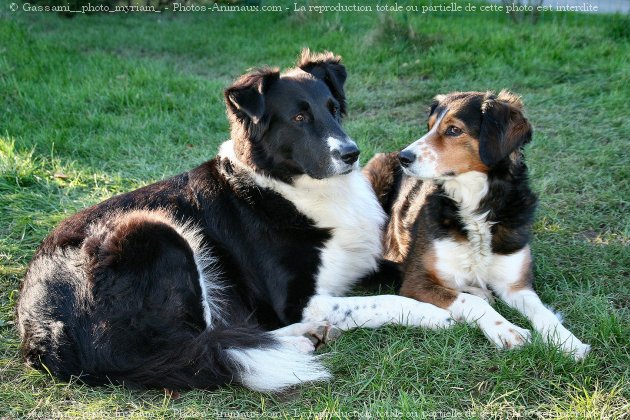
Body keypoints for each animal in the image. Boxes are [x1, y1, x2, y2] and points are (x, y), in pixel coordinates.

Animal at [16, 50, 454, 392]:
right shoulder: (294, 300)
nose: (350, 153)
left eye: (333, 109)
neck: (290, 188)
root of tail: (39, 330)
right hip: (155, 231)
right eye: (298, 118)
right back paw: (296, 341)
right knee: (207, 342)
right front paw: (436, 315)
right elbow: (381, 301)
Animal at [366, 90, 592, 360]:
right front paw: (507, 330)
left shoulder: (516, 284)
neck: (476, 207)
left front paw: (567, 341)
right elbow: (470, 302)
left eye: (453, 130)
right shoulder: (415, 282)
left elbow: (541, 310)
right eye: (430, 127)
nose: (404, 157)